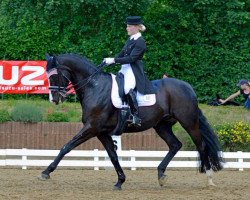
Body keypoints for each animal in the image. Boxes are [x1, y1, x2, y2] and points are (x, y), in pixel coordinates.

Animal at [41, 53, 223, 189]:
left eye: (54, 75)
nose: (54, 99)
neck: (94, 86)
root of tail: (188, 87)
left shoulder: (91, 128)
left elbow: (67, 146)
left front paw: (46, 172)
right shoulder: (101, 132)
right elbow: (113, 155)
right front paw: (120, 181)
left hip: (189, 123)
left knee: (201, 145)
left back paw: (209, 178)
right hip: (162, 126)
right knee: (175, 145)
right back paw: (161, 174)